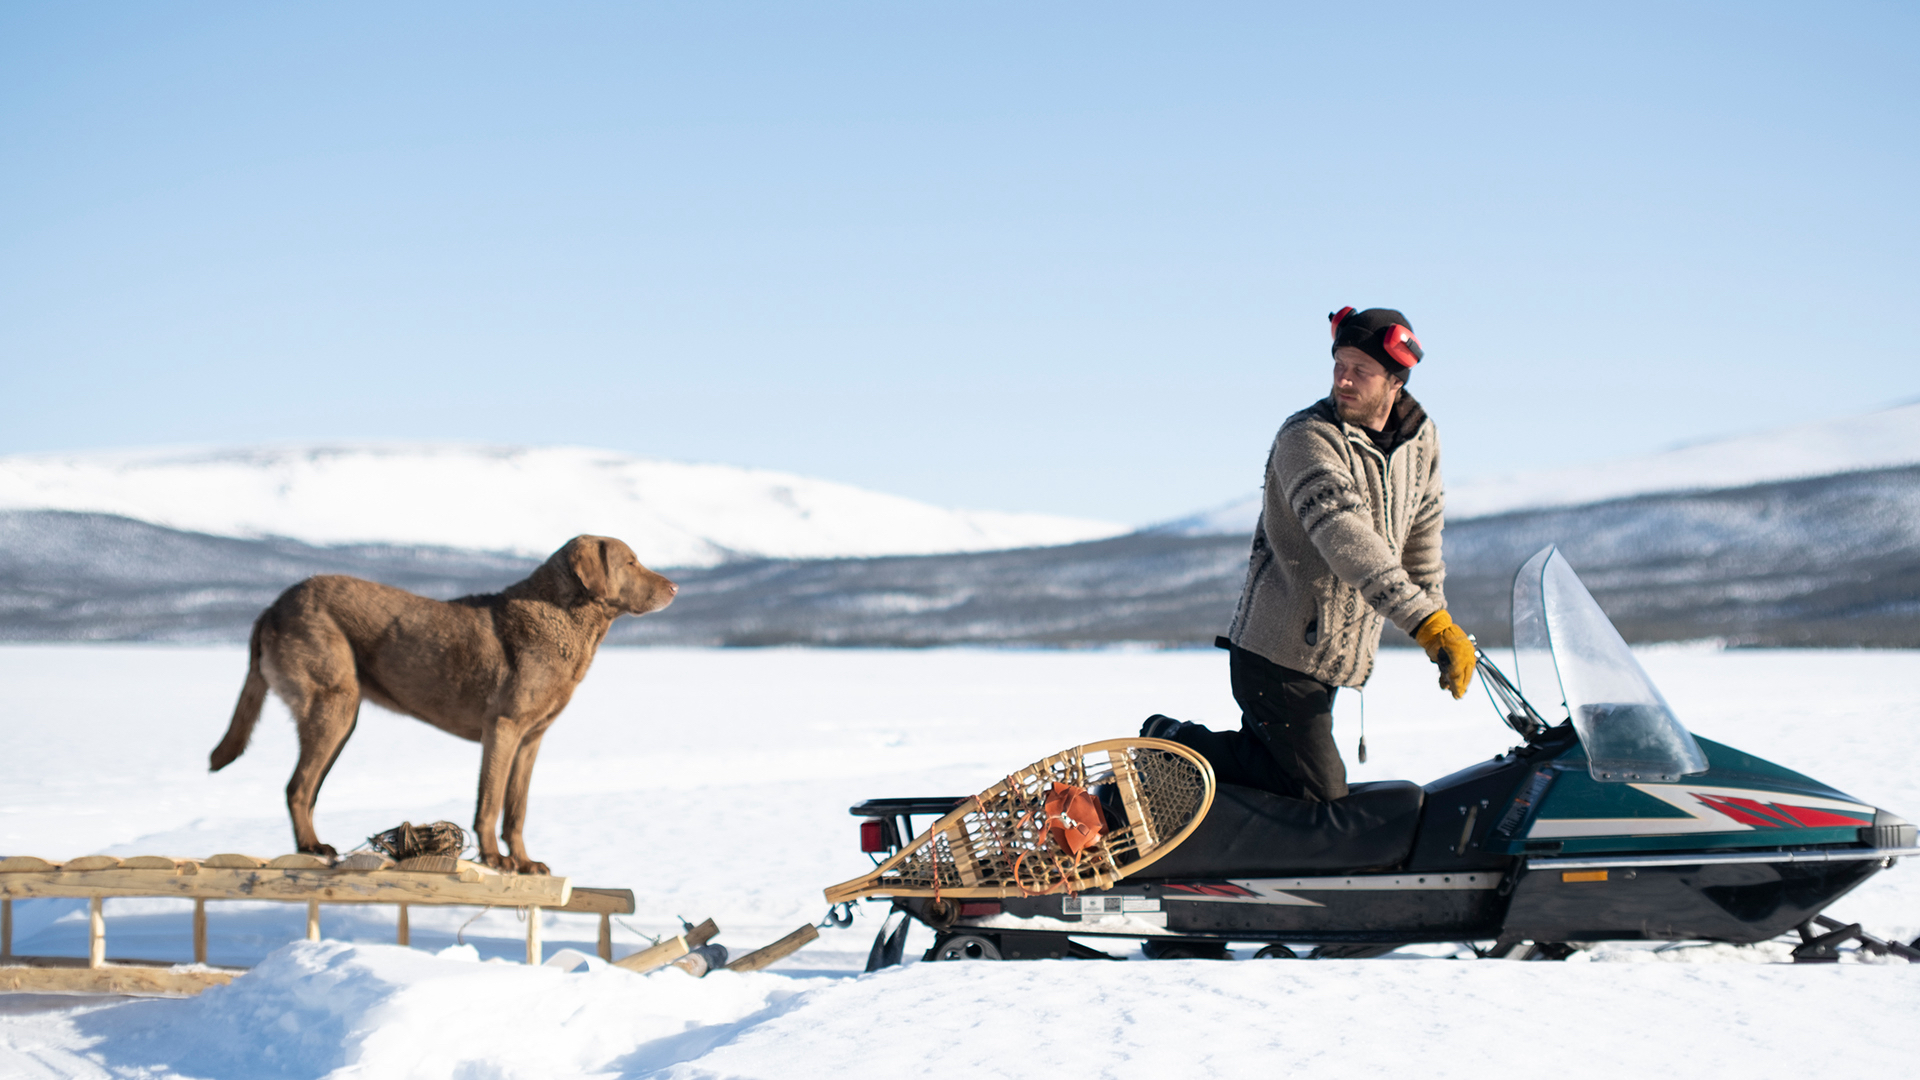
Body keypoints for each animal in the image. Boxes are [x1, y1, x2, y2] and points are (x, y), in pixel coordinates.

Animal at [208, 534, 675, 868]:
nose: (674, 586)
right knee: (298, 787)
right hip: (334, 705)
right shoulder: (503, 728)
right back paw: (313, 847)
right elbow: (489, 803)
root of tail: (272, 606)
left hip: (339, 718)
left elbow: (517, 810)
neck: (565, 619)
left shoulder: (531, 739)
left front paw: (525, 863)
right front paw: (496, 860)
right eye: (630, 562)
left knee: (305, 787)